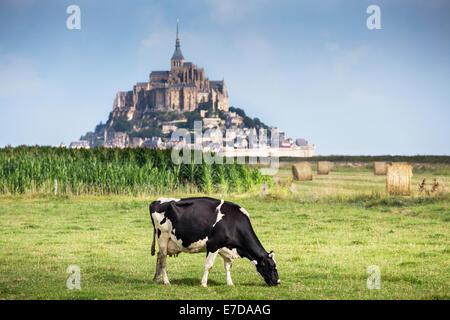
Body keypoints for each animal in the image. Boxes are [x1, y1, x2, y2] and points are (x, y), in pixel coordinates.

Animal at [149, 196, 280, 286]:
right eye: (271, 267)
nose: (278, 282)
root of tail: (156, 201)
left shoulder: (225, 247)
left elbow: (228, 266)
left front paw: (230, 283)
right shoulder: (213, 245)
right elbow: (209, 265)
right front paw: (203, 284)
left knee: (159, 256)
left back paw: (156, 278)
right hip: (163, 237)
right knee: (163, 260)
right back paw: (166, 281)